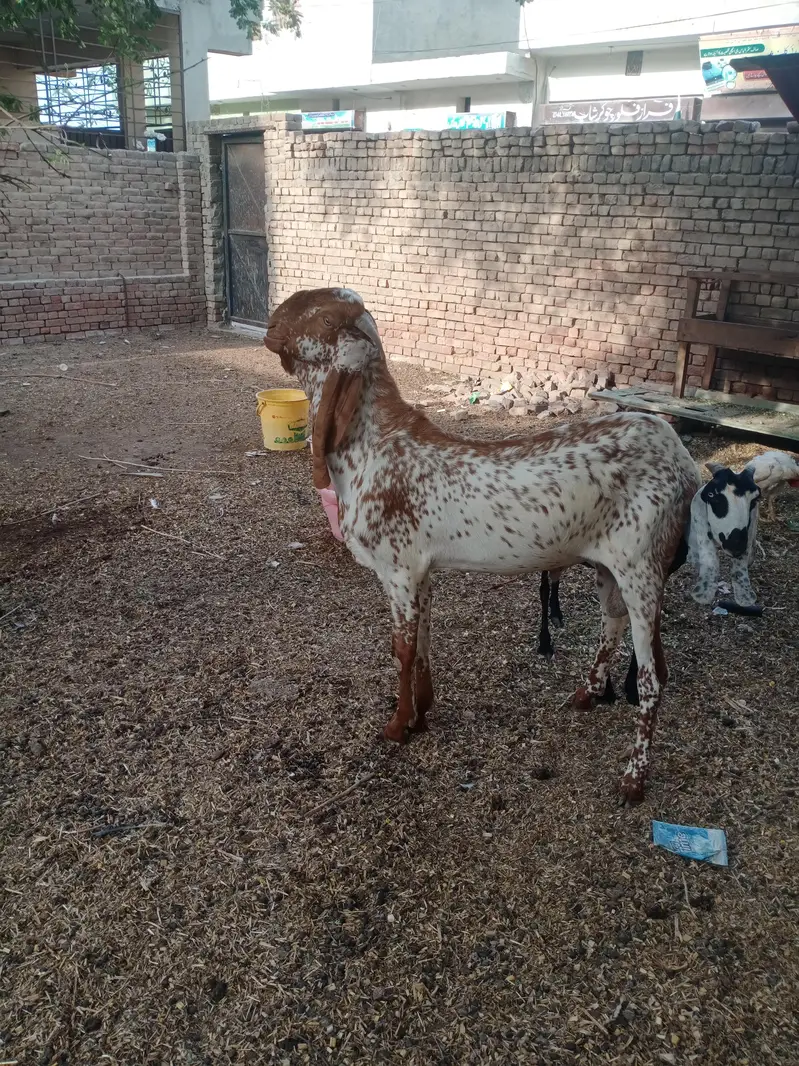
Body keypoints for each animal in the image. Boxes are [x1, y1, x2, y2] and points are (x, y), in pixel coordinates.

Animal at [264, 288, 700, 804]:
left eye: (327, 320)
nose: (272, 323)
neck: (374, 446)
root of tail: (683, 462)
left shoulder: (398, 569)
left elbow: (402, 648)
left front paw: (397, 726)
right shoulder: (420, 572)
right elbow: (424, 636)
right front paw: (422, 712)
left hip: (643, 568)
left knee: (654, 676)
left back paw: (634, 778)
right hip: (609, 566)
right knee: (611, 623)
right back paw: (587, 694)